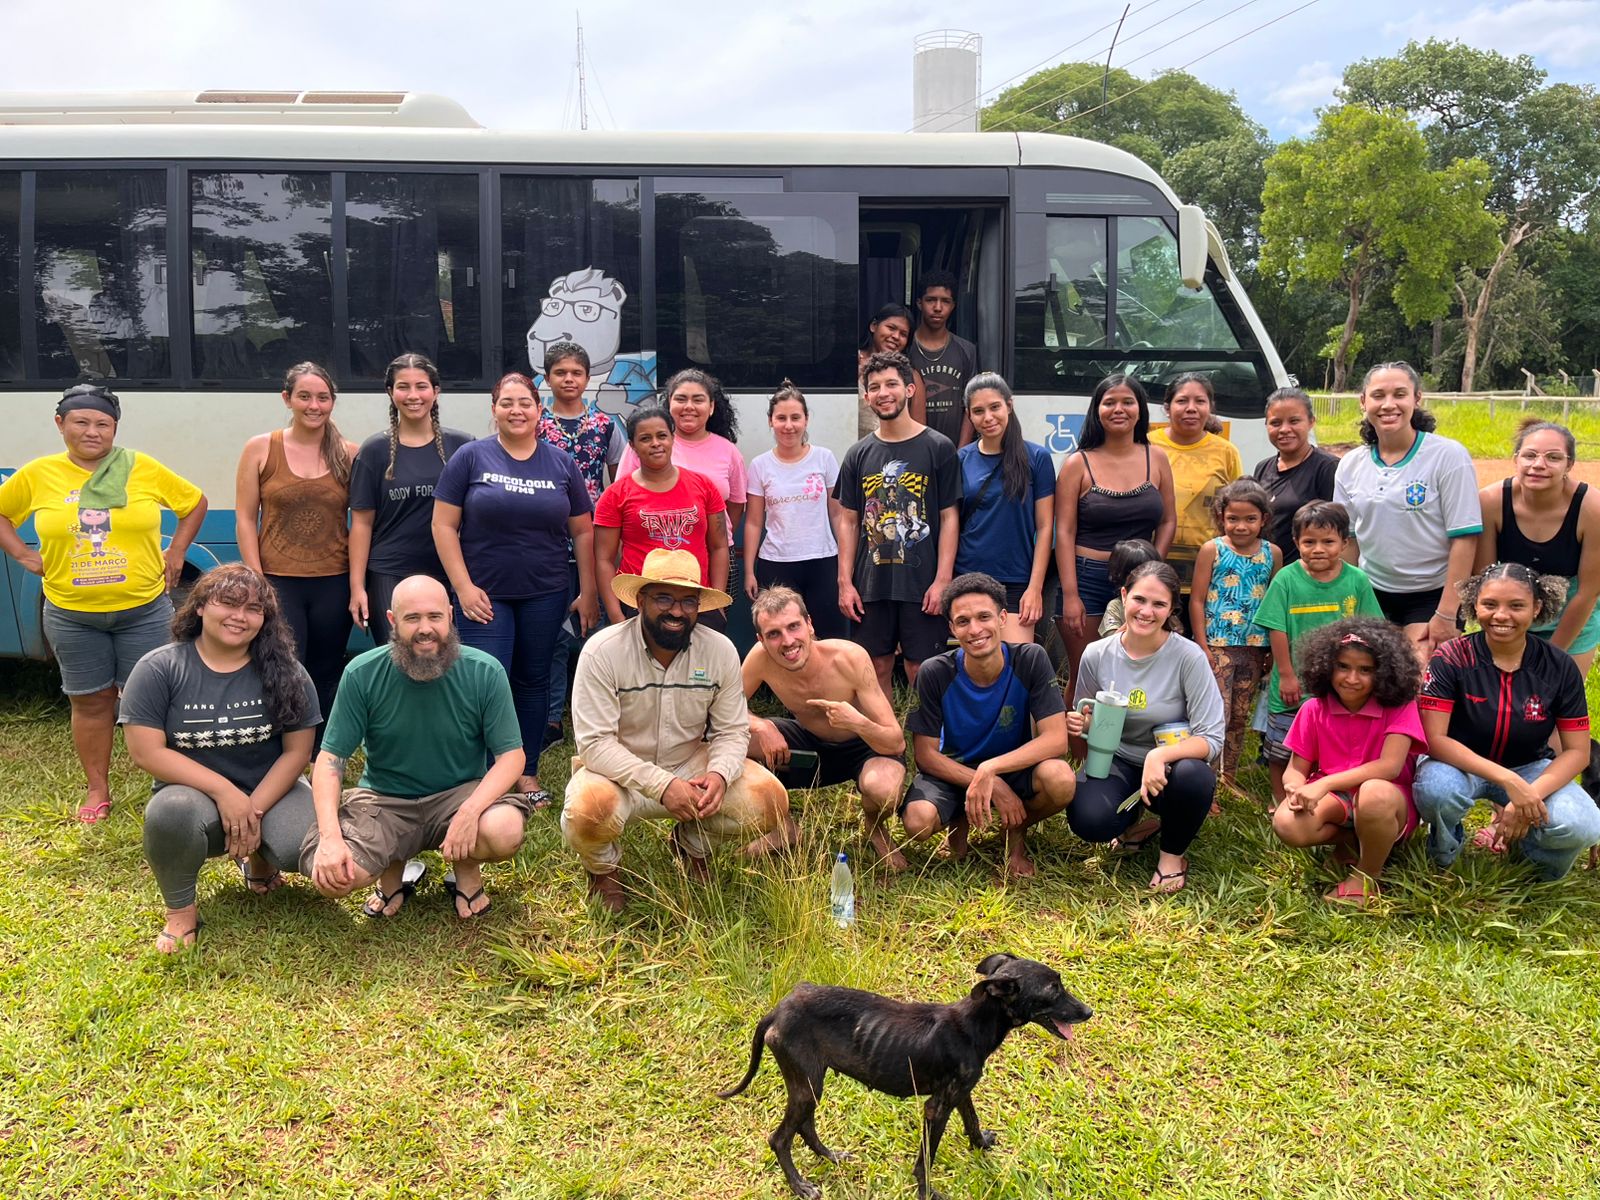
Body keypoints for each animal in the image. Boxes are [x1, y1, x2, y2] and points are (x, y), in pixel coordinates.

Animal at [717, 953, 1092, 1200]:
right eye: (1053, 990)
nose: (1089, 1011)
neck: (974, 1024)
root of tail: (778, 1009)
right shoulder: (936, 1107)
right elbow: (926, 1158)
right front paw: (927, 1193)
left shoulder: (959, 1093)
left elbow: (972, 1120)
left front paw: (981, 1145)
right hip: (807, 1083)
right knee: (780, 1138)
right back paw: (800, 1186)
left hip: (810, 1082)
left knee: (805, 1126)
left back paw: (831, 1157)